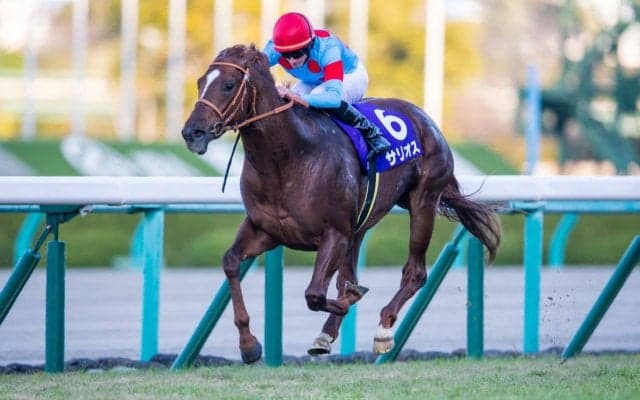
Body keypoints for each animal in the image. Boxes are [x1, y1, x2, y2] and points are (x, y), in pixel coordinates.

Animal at [181, 44, 501, 363]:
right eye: (199, 82)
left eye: (228, 84)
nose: (192, 132)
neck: (289, 158)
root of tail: (424, 118)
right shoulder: (266, 230)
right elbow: (231, 262)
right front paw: (249, 345)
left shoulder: (334, 233)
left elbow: (315, 294)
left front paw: (352, 297)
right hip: (361, 223)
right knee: (349, 273)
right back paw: (326, 333)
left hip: (423, 201)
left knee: (416, 273)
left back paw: (383, 329)